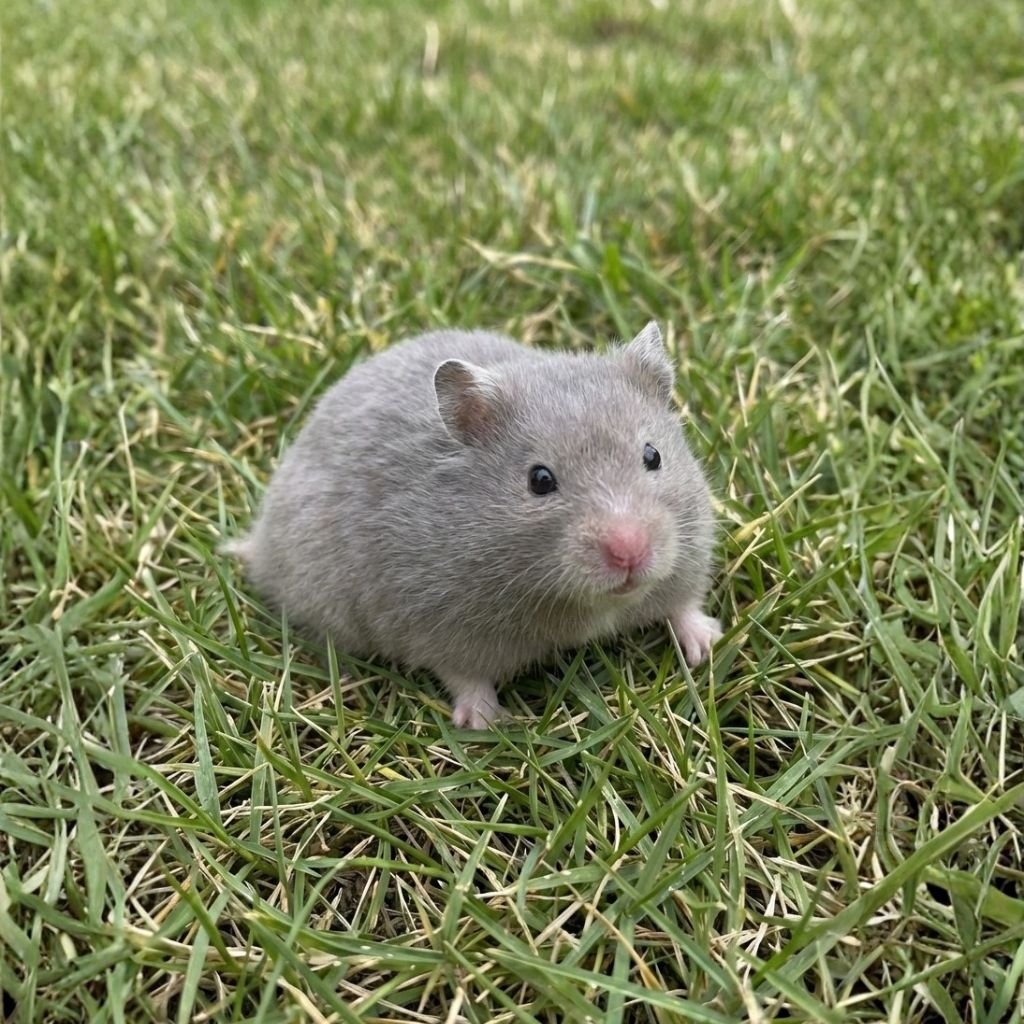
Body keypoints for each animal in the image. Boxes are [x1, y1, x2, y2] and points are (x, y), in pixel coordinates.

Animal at [227, 322, 722, 729]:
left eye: (653, 455)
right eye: (539, 480)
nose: (629, 552)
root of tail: (260, 541)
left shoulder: (688, 558)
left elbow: (683, 605)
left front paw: (707, 647)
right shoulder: (437, 626)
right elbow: (464, 676)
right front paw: (485, 723)